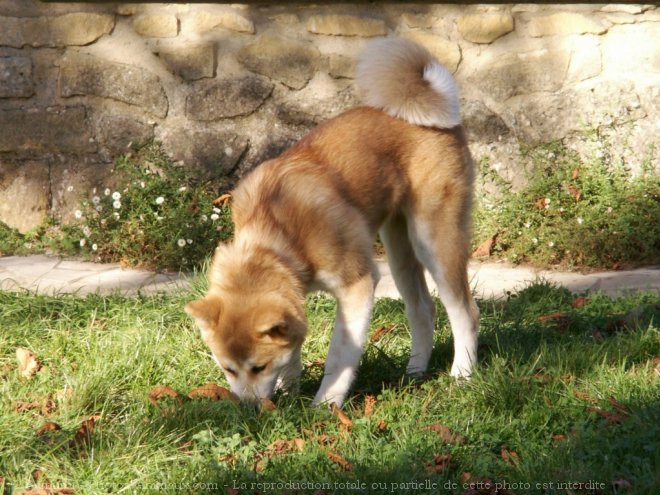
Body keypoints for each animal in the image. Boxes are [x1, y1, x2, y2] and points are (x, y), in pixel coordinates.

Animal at [186, 37, 480, 406]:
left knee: (465, 312)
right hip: (399, 253)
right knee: (423, 310)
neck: (280, 232)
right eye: (228, 368)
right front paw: (291, 388)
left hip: (434, 242)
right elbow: (293, 350)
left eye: (257, 367)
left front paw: (324, 405)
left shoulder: (358, 285)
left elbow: (339, 356)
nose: (250, 409)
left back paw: (462, 374)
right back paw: (414, 372)